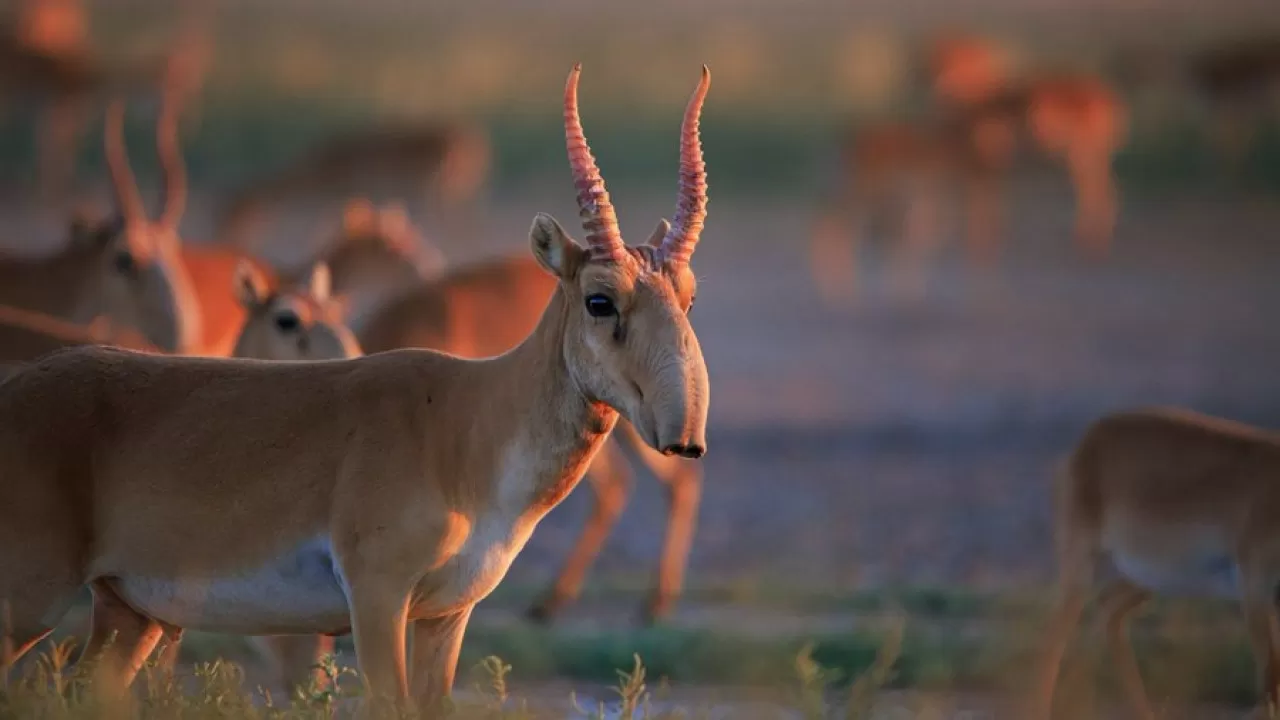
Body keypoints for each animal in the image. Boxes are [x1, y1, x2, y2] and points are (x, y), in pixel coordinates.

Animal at [0, 63, 711, 712]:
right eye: (599, 299)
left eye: (688, 295)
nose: (684, 435)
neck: (463, 421)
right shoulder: (377, 600)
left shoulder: (444, 616)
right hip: (32, 602)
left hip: (130, 613)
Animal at [1029, 407, 1280, 712]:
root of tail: (1089, 438)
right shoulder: (1255, 591)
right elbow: (1270, 680)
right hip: (1082, 566)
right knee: (1054, 640)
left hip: (1147, 578)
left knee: (1108, 608)